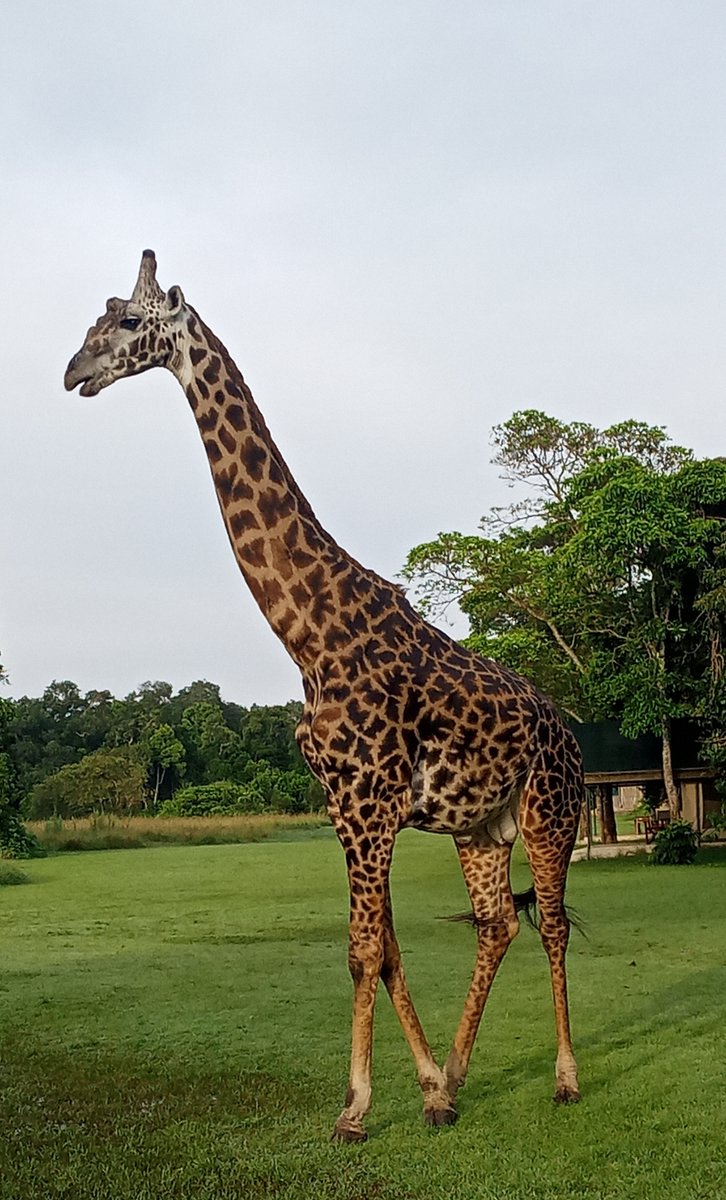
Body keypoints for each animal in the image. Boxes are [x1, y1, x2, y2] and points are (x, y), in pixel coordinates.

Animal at [64, 250, 583, 1142]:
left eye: (128, 323)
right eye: (93, 320)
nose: (72, 372)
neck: (306, 633)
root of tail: (572, 732)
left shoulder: (371, 802)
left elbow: (364, 951)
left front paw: (356, 1108)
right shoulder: (345, 804)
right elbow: (384, 950)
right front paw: (429, 1092)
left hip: (552, 809)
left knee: (551, 924)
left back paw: (565, 1079)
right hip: (480, 826)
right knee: (497, 923)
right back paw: (460, 1073)